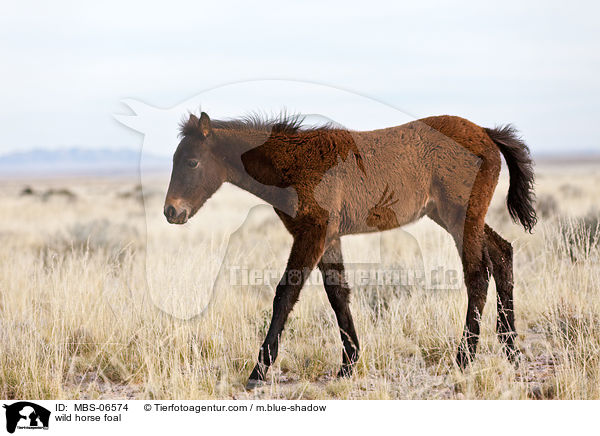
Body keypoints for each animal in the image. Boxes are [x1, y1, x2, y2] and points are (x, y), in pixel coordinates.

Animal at [163, 112, 536, 388]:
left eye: (192, 162)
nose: (171, 212)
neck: (296, 163)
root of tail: (485, 133)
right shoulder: (328, 237)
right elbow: (337, 293)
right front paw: (348, 365)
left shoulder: (312, 233)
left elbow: (286, 293)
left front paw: (258, 372)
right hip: (454, 217)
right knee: (502, 255)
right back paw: (511, 349)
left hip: (461, 216)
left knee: (477, 275)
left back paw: (465, 357)